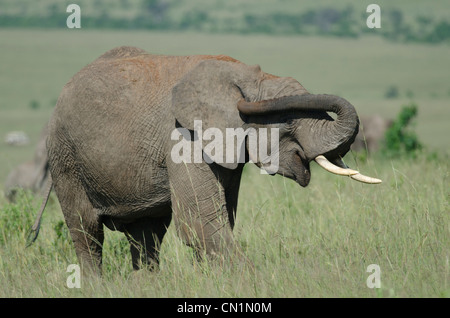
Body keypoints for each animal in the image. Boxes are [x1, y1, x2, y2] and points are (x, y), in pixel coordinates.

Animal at [36, 46, 380, 274]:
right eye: (287, 120)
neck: (241, 77)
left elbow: (217, 217)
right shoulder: (181, 136)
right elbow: (200, 223)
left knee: (146, 235)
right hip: (64, 155)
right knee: (87, 233)